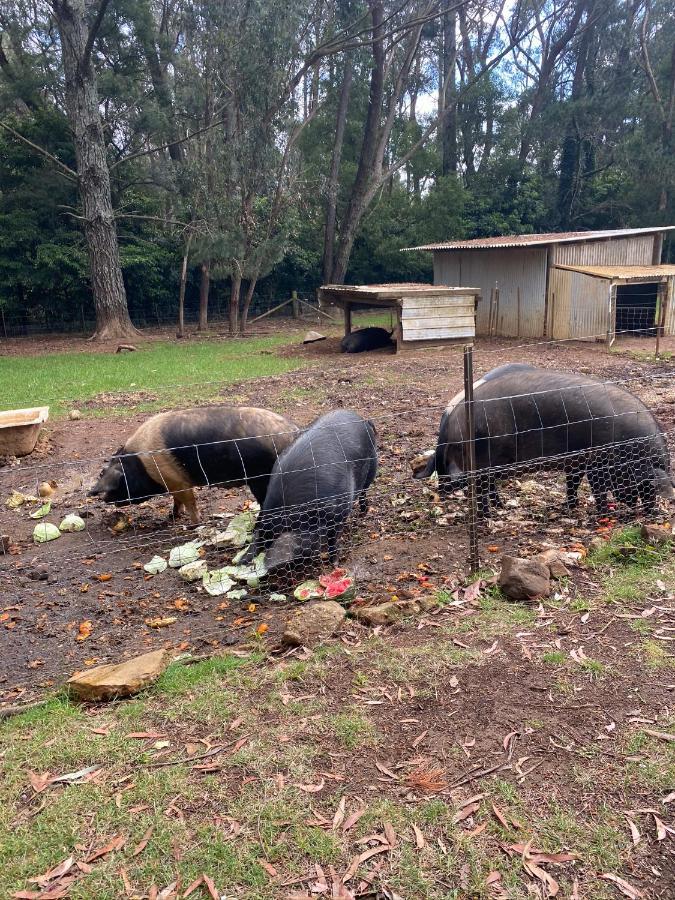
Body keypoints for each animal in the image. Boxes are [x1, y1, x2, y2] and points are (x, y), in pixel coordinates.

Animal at [88, 406, 300, 524]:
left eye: (118, 481)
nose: (104, 498)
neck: (140, 464)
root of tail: (293, 432)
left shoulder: (177, 481)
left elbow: (189, 501)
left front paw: (195, 523)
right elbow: (177, 501)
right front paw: (172, 517)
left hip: (260, 478)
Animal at [243, 410, 380, 572]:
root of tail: (363, 420)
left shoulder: (339, 510)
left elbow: (332, 538)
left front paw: (334, 563)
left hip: (372, 465)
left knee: (364, 492)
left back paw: (364, 512)